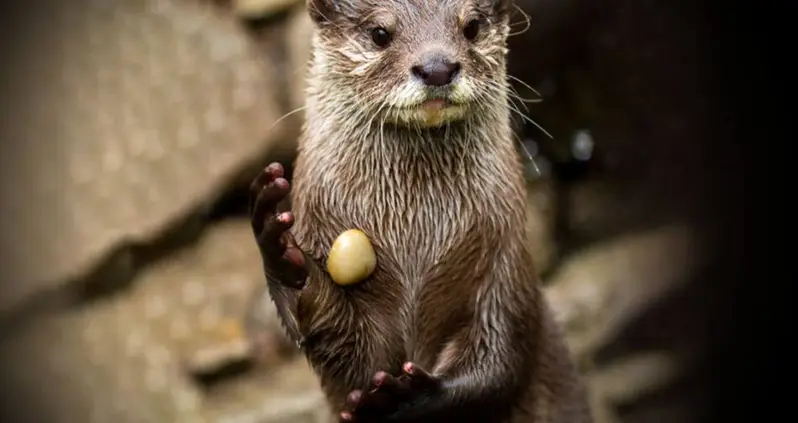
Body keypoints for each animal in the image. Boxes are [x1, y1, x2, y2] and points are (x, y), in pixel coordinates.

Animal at [248, 0, 592, 422]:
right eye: (380, 33)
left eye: (472, 26)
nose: (437, 67)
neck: (416, 241)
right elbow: (351, 351)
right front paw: (280, 250)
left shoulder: (504, 266)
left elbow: (500, 363)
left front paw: (409, 398)